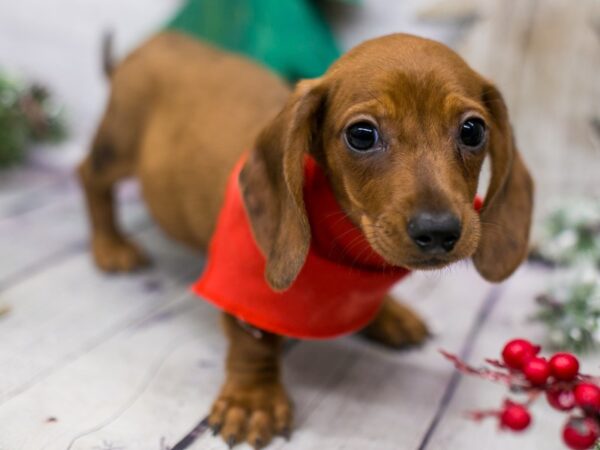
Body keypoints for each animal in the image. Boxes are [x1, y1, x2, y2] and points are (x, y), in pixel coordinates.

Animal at [78, 30, 536, 446]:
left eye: (473, 130)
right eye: (362, 135)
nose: (438, 229)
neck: (347, 250)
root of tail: (147, 45)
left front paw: (389, 314)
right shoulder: (243, 283)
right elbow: (253, 341)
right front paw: (254, 400)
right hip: (117, 146)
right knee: (89, 176)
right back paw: (110, 245)